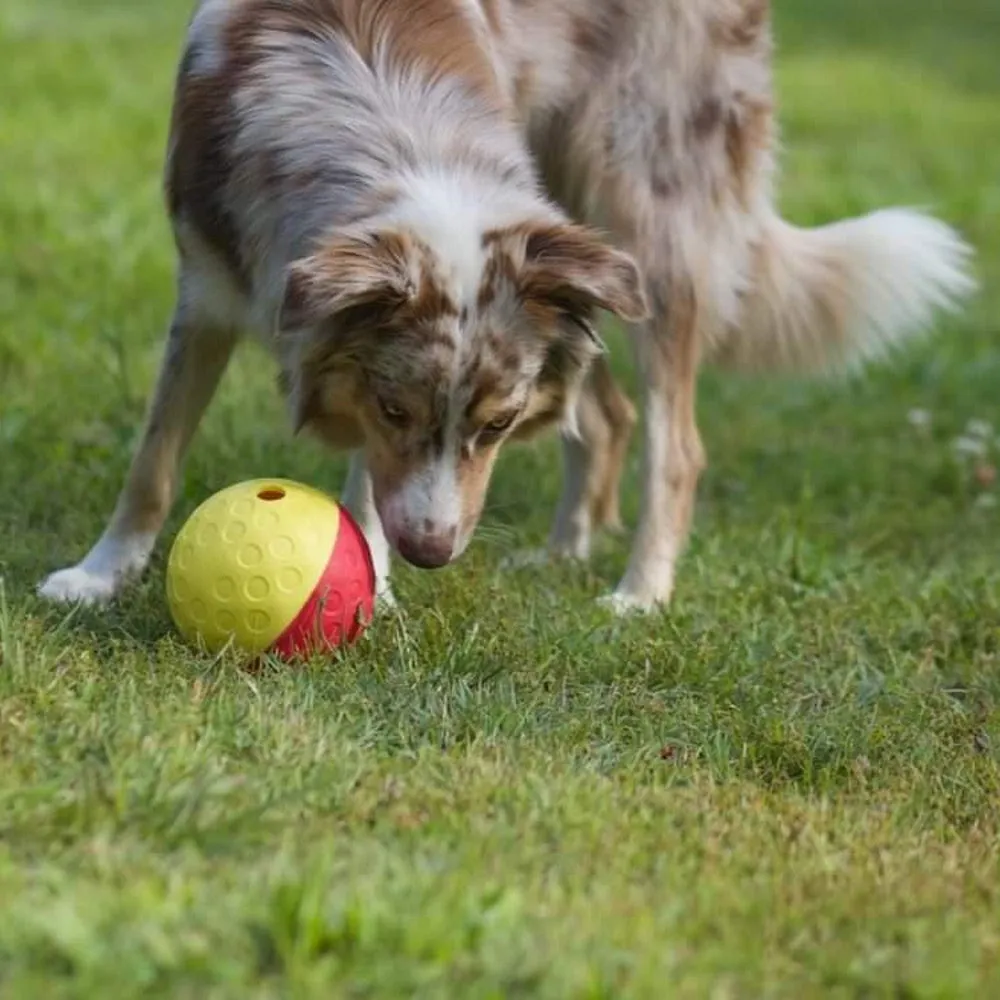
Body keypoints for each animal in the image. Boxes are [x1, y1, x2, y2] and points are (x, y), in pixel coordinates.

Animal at [35, 0, 972, 612]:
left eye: (497, 426)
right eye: (393, 408)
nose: (432, 555)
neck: (383, 108)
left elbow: (365, 485)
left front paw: (368, 580)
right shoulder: (209, 285)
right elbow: (154, 459)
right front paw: (97, 576)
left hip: (645, 220)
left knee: (677, 446)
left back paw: (639, 593)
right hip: (577, 246)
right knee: (610, 415)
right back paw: (562, 553)